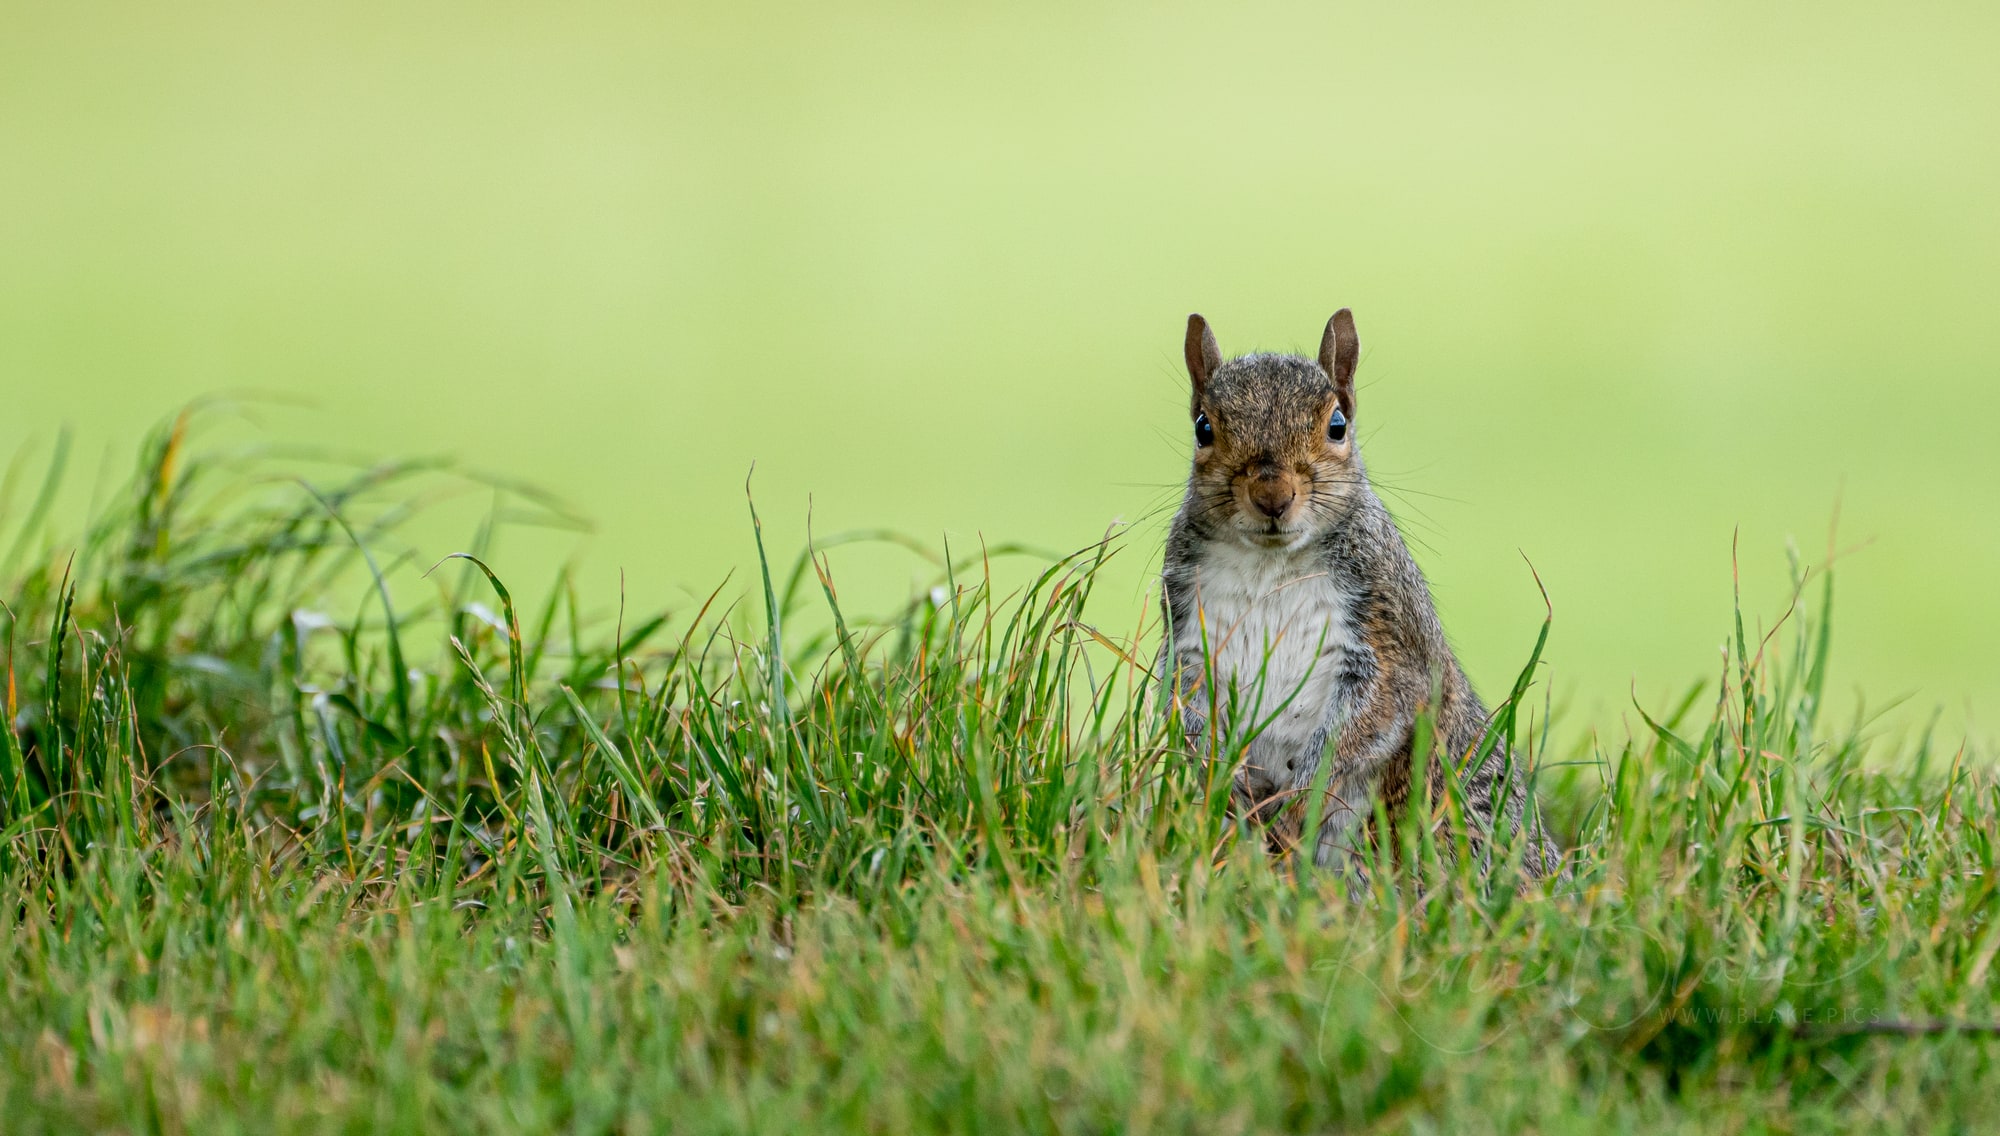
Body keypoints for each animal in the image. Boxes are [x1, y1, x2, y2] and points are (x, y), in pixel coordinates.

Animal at [1159, 309, 1564, 883]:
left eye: (1337, 426)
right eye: (1203, 428)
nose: (1272, 496)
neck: (1269, 565)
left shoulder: (1386, 637)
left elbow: (1362, 725)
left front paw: (1293, 806)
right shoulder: (1188, 636)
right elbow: (1185, 710)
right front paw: (1226, 786)